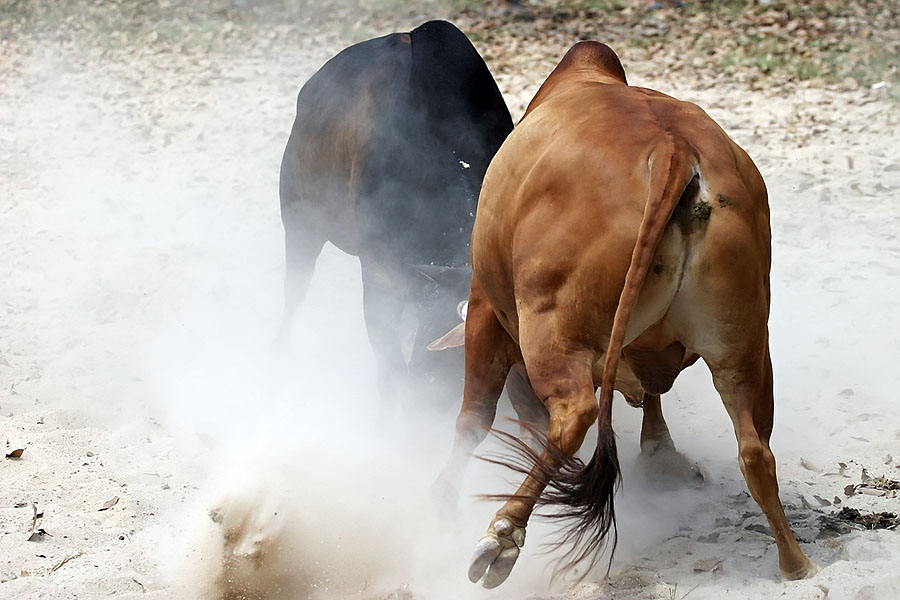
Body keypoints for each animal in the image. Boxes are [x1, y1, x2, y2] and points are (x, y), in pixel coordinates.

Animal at [431, 41, 818, 587]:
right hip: (742, 345)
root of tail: (674, 149)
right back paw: (795, 562)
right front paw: (661, 453)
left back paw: (503, 535)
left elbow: (473, 418)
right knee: (755, 449)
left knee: (575, 413)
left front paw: (440, 499)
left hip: (553, 328)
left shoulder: (485, 309)